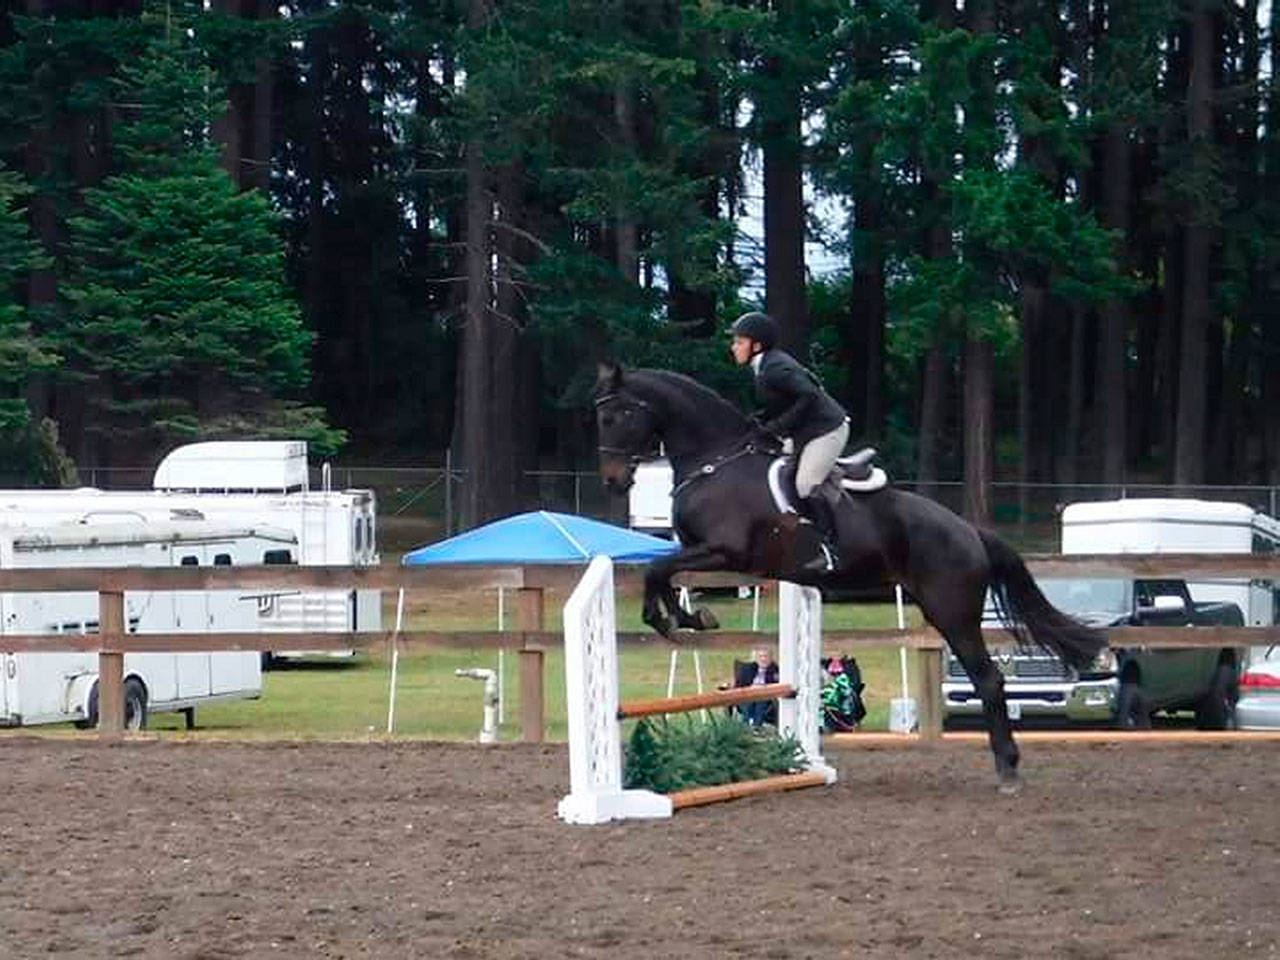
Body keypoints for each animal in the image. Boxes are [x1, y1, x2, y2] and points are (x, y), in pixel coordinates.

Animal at [593, 362, 1106, 791]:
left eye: (618, 414)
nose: (612, 480)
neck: (715, 460)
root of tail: (969, 531)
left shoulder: (726, 552)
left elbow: (658, 569)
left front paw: (673, 620)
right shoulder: (700, 552)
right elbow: (663, 571)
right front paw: (687, 618)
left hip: (953, 612)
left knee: (989, 680)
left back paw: (1008, 771)